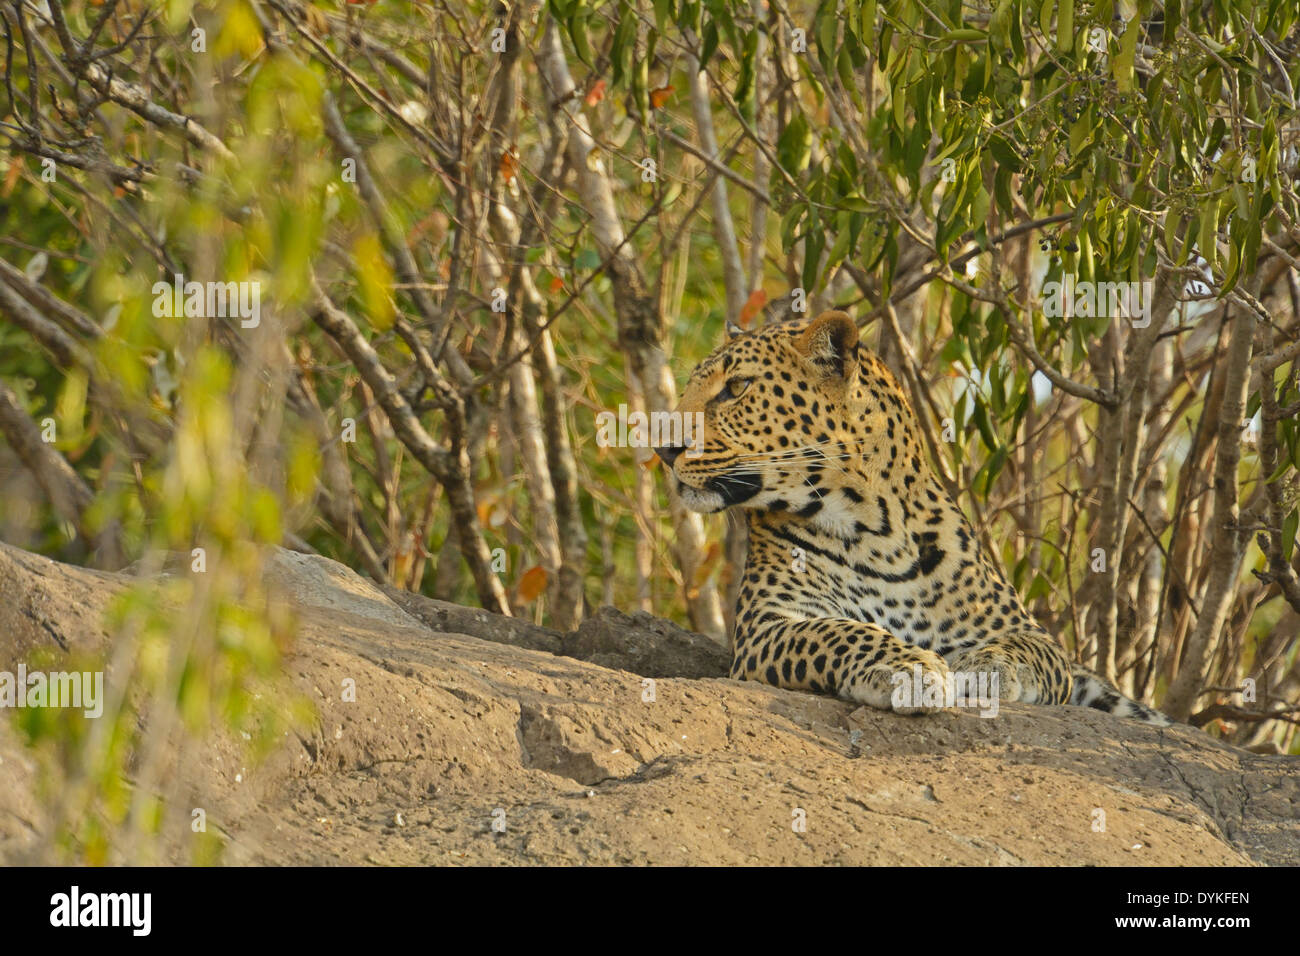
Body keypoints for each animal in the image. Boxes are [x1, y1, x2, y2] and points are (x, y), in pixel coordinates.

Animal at [655, 312, 1175, 723]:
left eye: (736, 388)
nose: (663, 448)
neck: (876, 531)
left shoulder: (1028, 630)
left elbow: (1029, 651)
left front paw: (985, 668)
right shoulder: (767, 625)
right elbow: (838, 630)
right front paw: (910, 668)